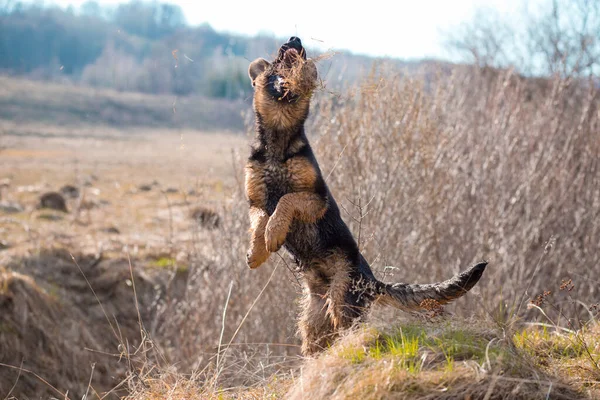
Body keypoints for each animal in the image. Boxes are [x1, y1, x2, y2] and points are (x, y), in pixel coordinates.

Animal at [246, 37, 486, 354]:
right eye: (276, 60)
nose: (295, 40)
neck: (279, 138)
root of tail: (372, 282)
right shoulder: (255, 201)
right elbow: (261, 220)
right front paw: (257, 251)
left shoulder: (316, 199)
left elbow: (286, 202)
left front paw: (272, 235)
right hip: (314, 322)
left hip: (342, 302)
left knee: (349, 331)